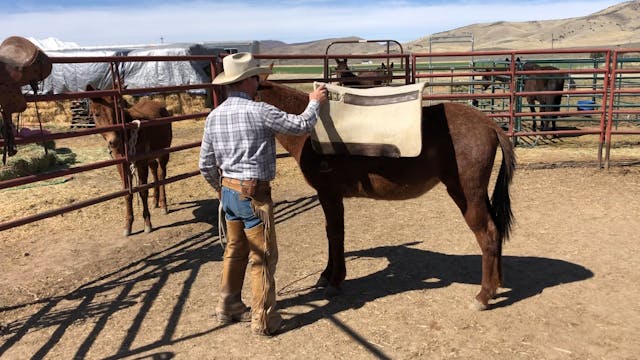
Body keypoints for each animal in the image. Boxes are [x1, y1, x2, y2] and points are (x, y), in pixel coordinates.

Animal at [87, 84, 174, 236]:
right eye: (96, 114)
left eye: (116, 112)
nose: (113, 141)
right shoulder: (122, 165)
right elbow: (127, 193)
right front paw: (127, 226)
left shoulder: (140, 163)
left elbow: (143, 191)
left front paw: (147, 224)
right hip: (151, 158)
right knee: (155, 170)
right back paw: (155, 202)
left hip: (163, 153)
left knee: (161, 174)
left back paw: (164, 205)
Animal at [255, 79, 516, 310]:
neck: (310, 131)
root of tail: (490, 125)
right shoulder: (327, 196)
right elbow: (331, 234)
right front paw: (326, 275)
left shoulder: (329, 194)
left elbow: (336, 235)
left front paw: (335, 281)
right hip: (478, 196)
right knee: (496, 230)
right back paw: (496, 286)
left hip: (467, 195)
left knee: (488, 234)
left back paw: (483, 296)